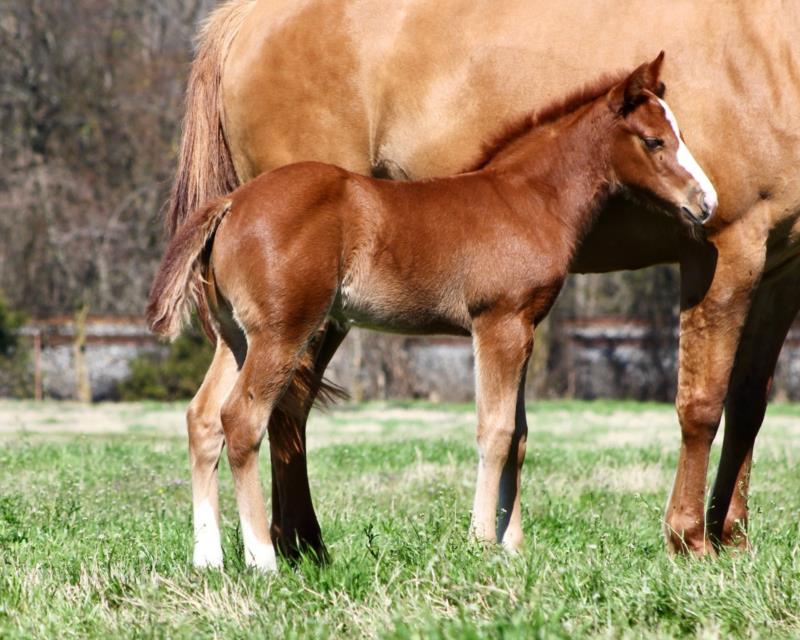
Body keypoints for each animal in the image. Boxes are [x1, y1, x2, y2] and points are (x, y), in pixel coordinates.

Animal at [166, 0, 800, 559]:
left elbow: (517, 434)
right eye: (654, 140)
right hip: (287, 331)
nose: (705, 203)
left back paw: (212, 556)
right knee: (252, 416)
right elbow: (496, 431)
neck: (522, 196)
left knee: (206, 418)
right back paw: (271, 554)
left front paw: (512, 546)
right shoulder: (500, 323)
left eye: (680, 132)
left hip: (240, 337)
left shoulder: (524, 327)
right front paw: (483, 542)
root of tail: (232, 206)